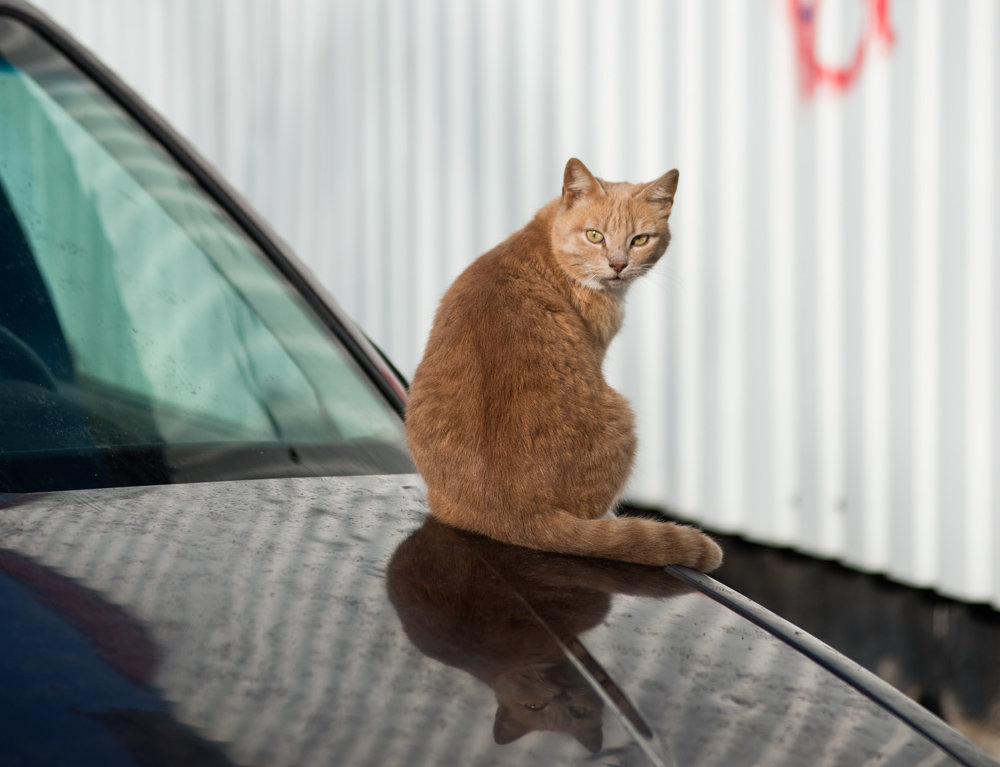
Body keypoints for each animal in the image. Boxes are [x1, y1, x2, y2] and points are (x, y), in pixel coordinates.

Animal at [402, 158, 724, 568]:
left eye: (639, 240)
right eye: (594, 235)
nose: (618, 264)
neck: (548, 241)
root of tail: (517, 514)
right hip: (622, 416)